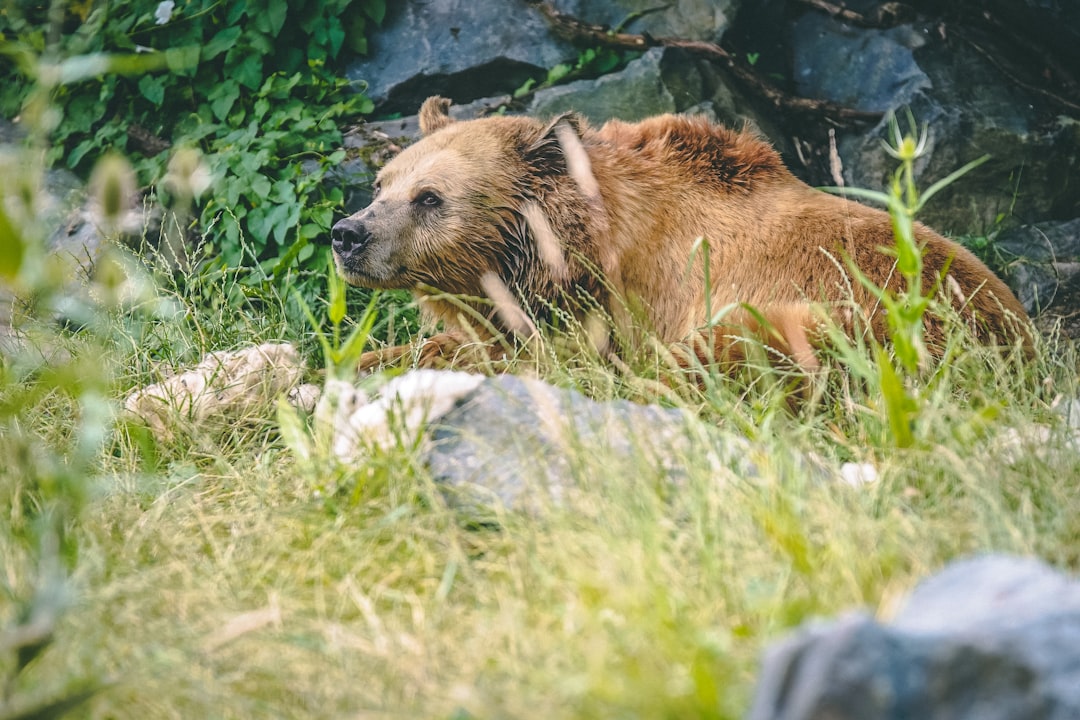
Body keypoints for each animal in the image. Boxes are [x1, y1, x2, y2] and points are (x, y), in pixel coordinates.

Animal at [332, 96, 1032, 375]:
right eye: (381, 185)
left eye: (430, 198)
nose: (347, 235)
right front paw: (356, 361)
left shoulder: (629, 309)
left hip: (858, 322)